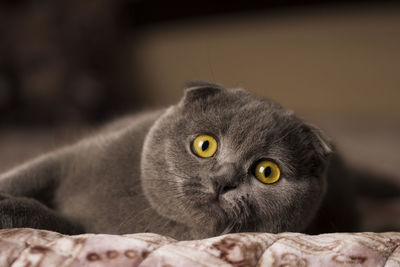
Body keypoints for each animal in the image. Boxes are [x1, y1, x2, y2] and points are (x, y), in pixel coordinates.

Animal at [0, 82, 396, 241]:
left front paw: (9, 208)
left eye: (267, 171)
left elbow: (61, 221)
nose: (223, 179)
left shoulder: (102, 230)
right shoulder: (68, 158)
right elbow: (24, 175)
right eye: (204, 145)